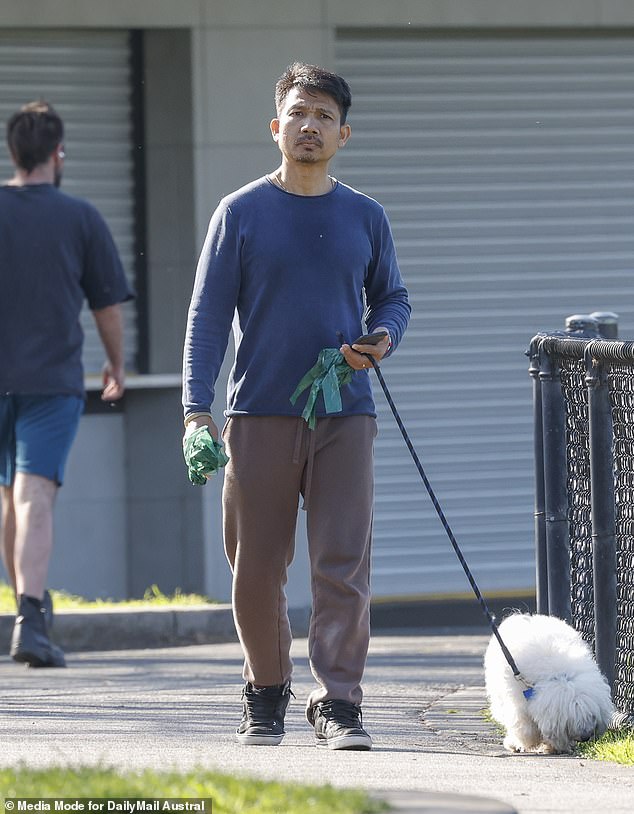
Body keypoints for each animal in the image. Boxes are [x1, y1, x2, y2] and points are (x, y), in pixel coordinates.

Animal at [484, 616, 612, 756]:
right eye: (571, 718)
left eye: (592, 715)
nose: (586, 737)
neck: (560, 675)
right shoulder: (519, 704)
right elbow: (525, 728)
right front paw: (519, 743)